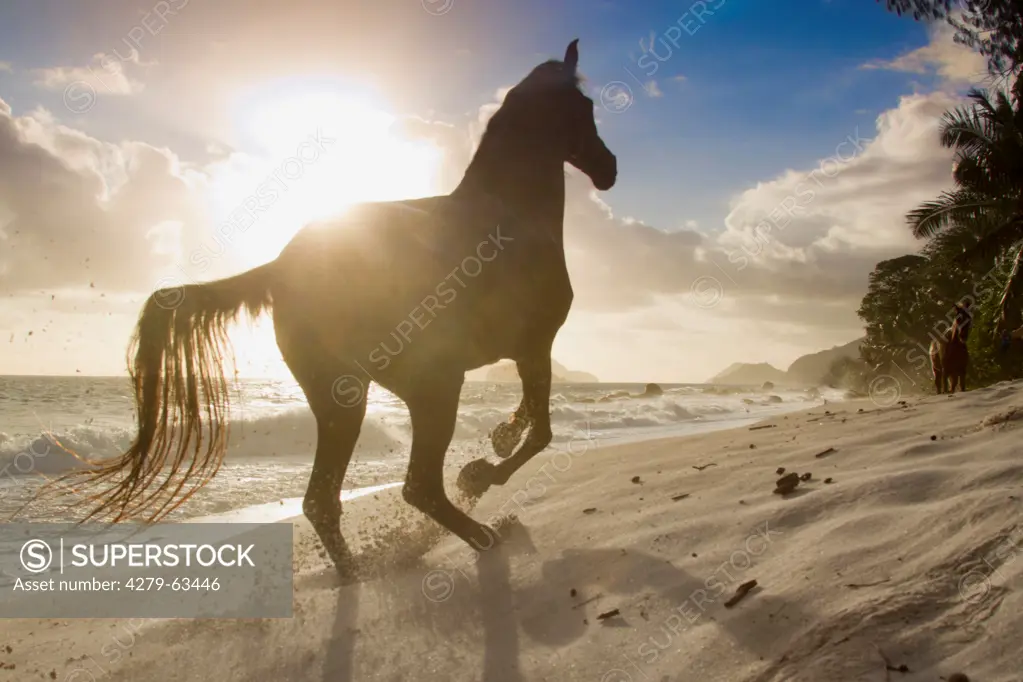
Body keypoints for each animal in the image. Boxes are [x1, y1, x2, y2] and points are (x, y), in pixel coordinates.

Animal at [49, 40, 613, 580]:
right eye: (584, 107)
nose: (609, 169)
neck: (508, 217)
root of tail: (281, 267)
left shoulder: (524, 351)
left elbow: (528, 419)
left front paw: (497, 438)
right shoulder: (535, 345)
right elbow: (542, 432)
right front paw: (481, 471)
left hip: (342, 396)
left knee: (324, 500)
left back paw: (356, 573)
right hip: (427, 386)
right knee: (416, 486)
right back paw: (477, 536)